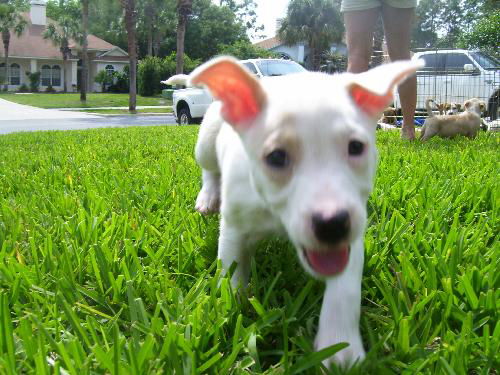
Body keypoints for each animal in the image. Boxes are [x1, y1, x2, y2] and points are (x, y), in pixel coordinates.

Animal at [176, 57, 422, 368]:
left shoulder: (350, 239)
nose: (332, 225)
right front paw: (230, 309)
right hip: (206, 142)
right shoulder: (234, 227)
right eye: (276, 157)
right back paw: (208, 196)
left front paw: (340, 347)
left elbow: (344, 289)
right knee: (208, 168)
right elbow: (231, 270)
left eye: (356, 147)